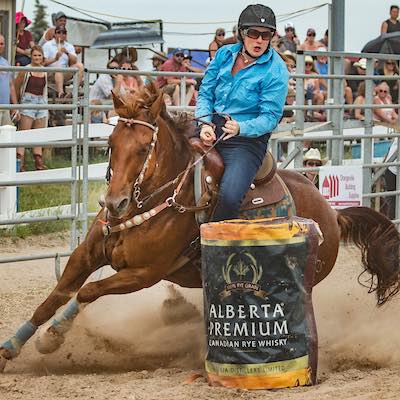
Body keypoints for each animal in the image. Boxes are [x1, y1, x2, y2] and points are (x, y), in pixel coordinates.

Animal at [0, 84, 400, 372]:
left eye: (144, 148)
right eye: (111, 144)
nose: (115, 204)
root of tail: (333, 215)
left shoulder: (143, 273)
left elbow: (87, 292)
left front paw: (53, 337)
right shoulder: (85, 254)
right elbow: (55, 297)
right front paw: (13, 346)